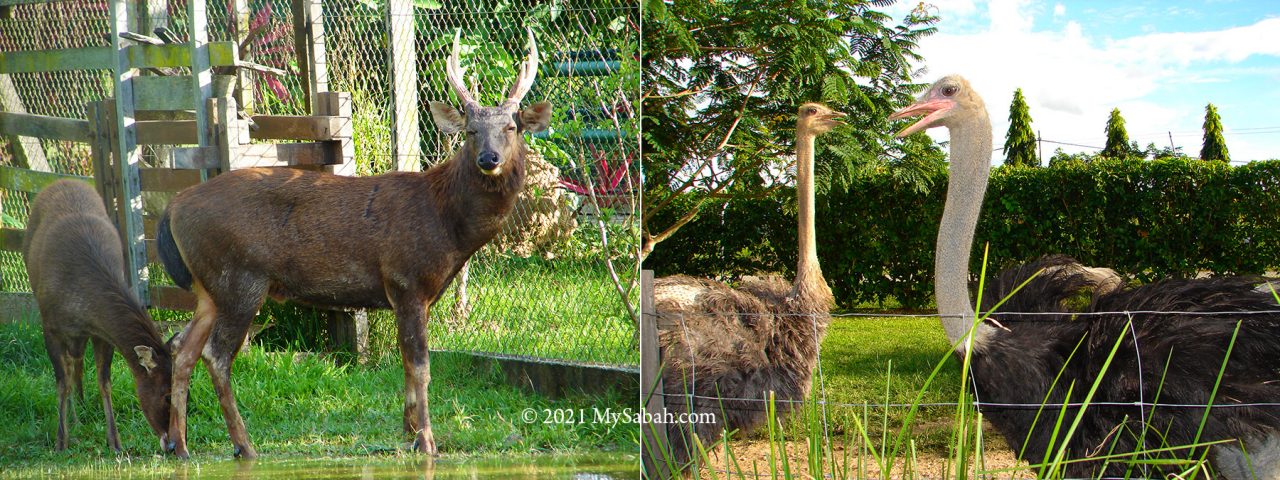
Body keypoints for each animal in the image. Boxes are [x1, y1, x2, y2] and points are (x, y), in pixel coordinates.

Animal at [22, 180, 171, 455]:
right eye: (167, 394)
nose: (172, 443)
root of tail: (61, 181)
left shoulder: (102, 333)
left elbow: (105, 382)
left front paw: (115, 442)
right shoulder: (49, 327)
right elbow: (61, 383)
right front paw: (60, 441)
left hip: (81, 338)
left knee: (77, 361)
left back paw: (81, 408)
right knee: (70, 367)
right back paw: (74, 418)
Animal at [154, 27, 550, 458]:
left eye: (511, 127)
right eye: (471, 131)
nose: (489, 158)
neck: (448, 226)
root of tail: (173, 206)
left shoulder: (416, 293)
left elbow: (406, 362)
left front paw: (408, 428)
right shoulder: (406, 279)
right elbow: (421, 365)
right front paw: (427, 439)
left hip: (208, 286)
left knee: (181, 347)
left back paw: (177, 443)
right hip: (240, 277)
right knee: (216, 354)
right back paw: (243, 445)